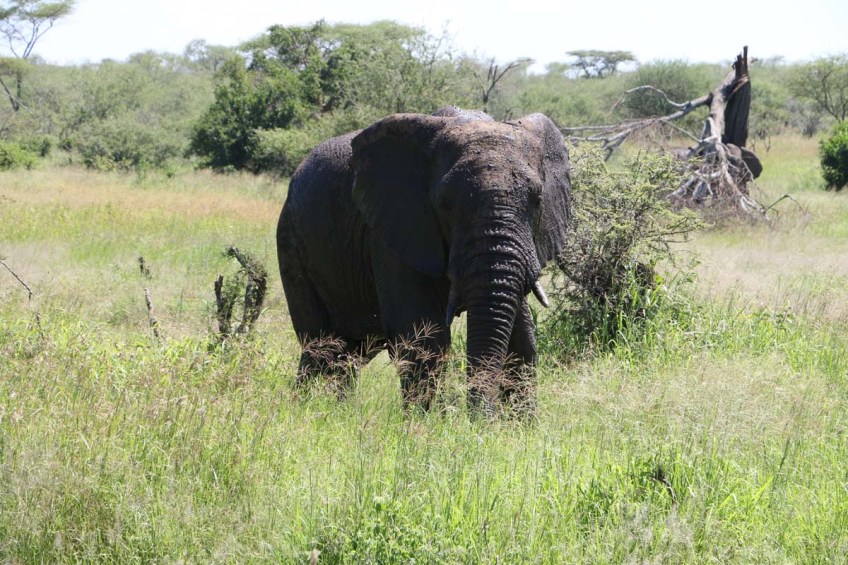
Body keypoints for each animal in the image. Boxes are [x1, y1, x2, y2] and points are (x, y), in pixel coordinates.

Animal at [276, 106, 572, 412]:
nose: (478, 418)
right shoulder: (393, 229)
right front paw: (428, 421)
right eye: (444, 204)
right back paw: (309, 408)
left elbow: (521, 337)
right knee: (321, 345)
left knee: (348, 353)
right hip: (291, 242)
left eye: (537, 199)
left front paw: (518, 422)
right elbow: (424, 338)